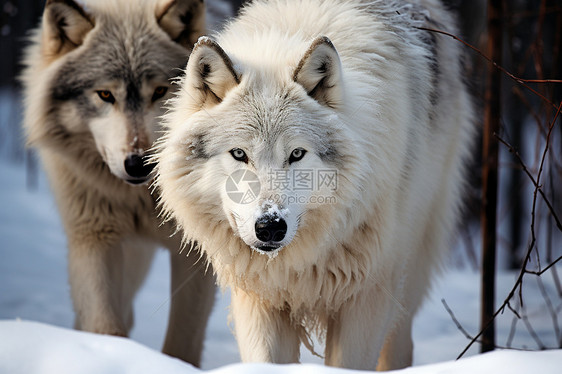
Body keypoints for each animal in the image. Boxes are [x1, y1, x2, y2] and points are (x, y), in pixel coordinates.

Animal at [21, 0, 214, 366]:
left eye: (161, 91)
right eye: (105, 94)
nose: (139, 163)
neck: (140, 200)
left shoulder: (198, 253)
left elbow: (182, 341)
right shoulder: (93, 238)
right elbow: (105, 325)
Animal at [154, 0, 472, 368]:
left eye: (296, 154)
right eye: (239, 154)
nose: (270, 226)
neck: (299, 262)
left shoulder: (367, 296)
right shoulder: (260, 299)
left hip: (410, 266)